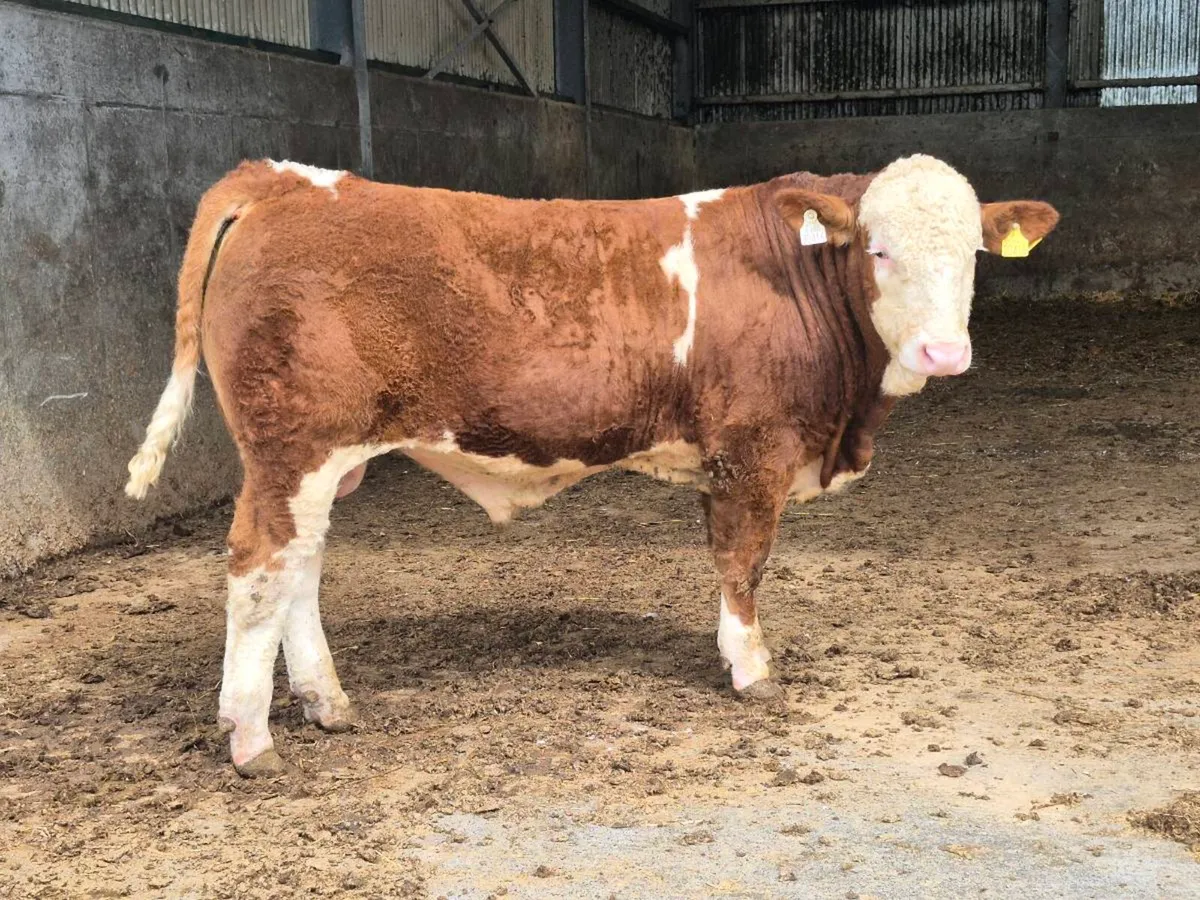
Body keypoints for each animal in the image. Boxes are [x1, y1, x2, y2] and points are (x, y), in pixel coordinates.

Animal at [125, 155, 1058, 776]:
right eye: (876, 249)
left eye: (974, 254)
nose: (944, 352)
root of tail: (288, 177)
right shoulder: (751, 450)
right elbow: (743, 565)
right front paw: (750, 670)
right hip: (292, 448)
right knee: (259, 570)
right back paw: (251, 737)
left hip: (325, 461)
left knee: (301, 570)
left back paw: (327, 703)